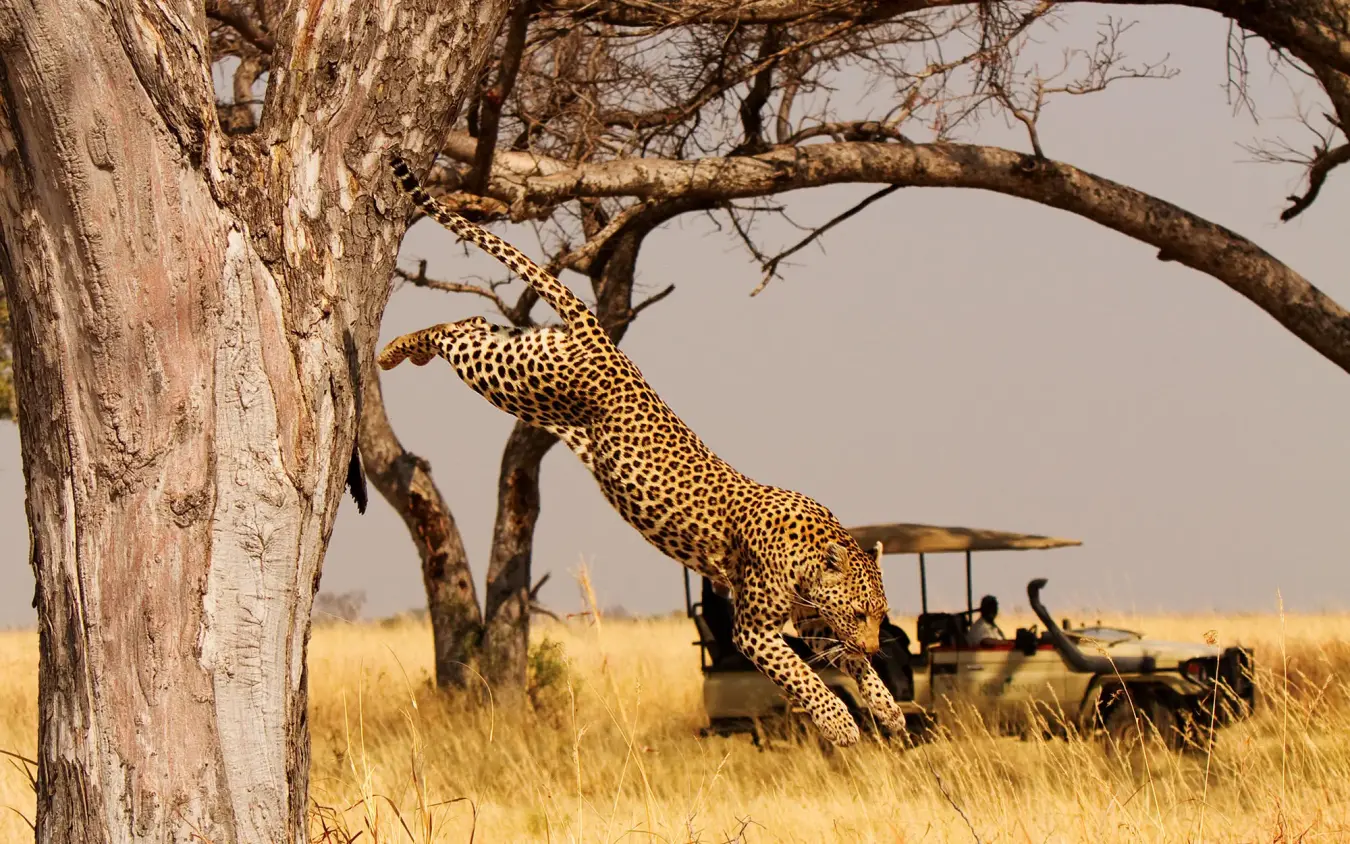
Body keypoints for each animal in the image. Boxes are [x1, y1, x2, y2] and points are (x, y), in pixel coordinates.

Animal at [378, 154, 903, 746]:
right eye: (861, 612)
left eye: (881, 614)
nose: (878, 643)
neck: (812, 555)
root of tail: (601, 336)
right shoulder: (754, 629)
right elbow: (802, 676)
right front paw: (840, 723)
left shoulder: (810, 619)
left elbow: (844, 663)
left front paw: (886, 706)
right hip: (518, 380)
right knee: (457, 333)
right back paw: (394, 350)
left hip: (522, 359)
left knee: (473, 322)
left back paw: (403, 349)